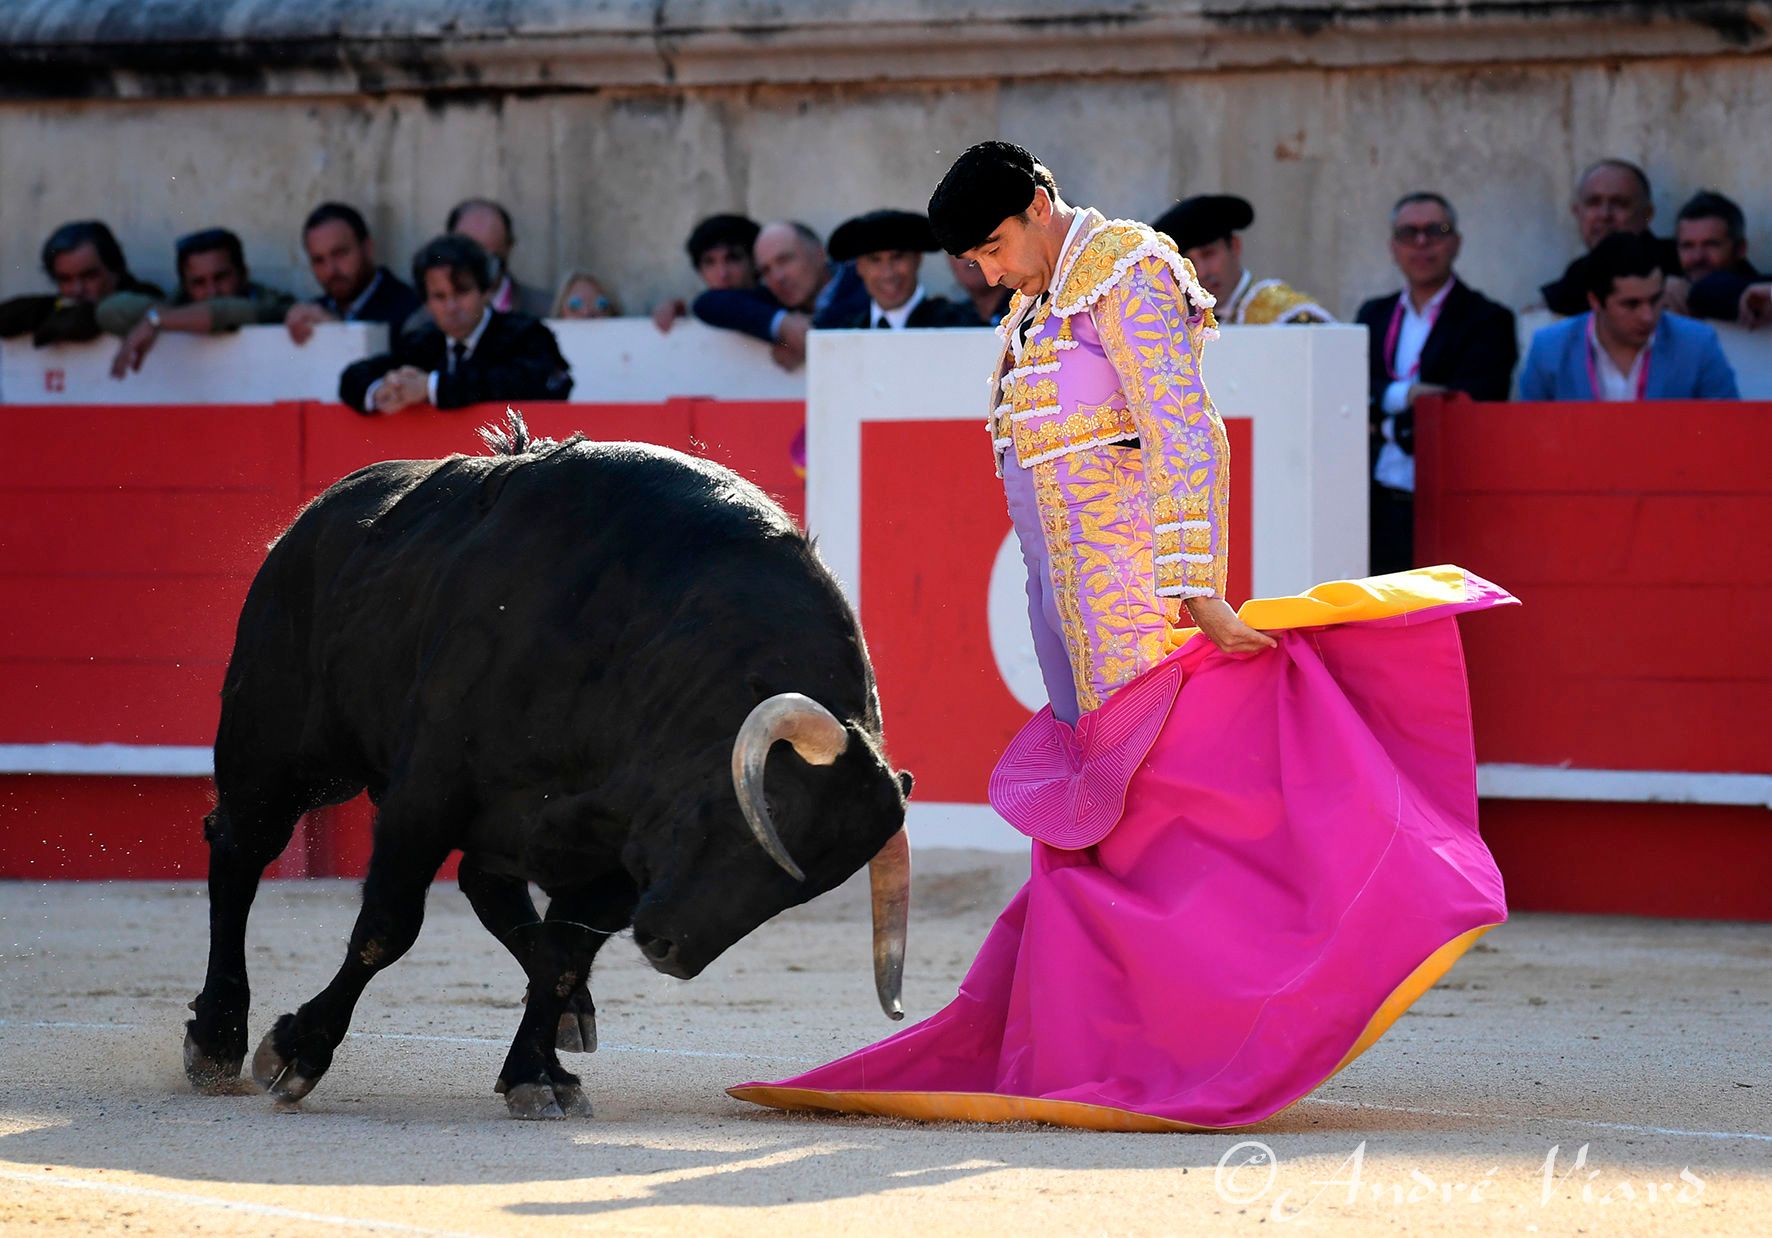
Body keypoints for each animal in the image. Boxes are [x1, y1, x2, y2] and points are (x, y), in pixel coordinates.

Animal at [183, 419, 914, 1126]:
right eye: (761, 816)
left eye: (810, 885)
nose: (669, 947)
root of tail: (311, 520)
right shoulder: (427, 796)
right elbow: (386, 928)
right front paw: (296, 1054)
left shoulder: (618, 862)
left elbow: (563, 954)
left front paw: (536, 1075)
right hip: (278, 754)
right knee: (239, 853)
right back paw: (216, 1041)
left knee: (488, 888)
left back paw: (569, 1017)